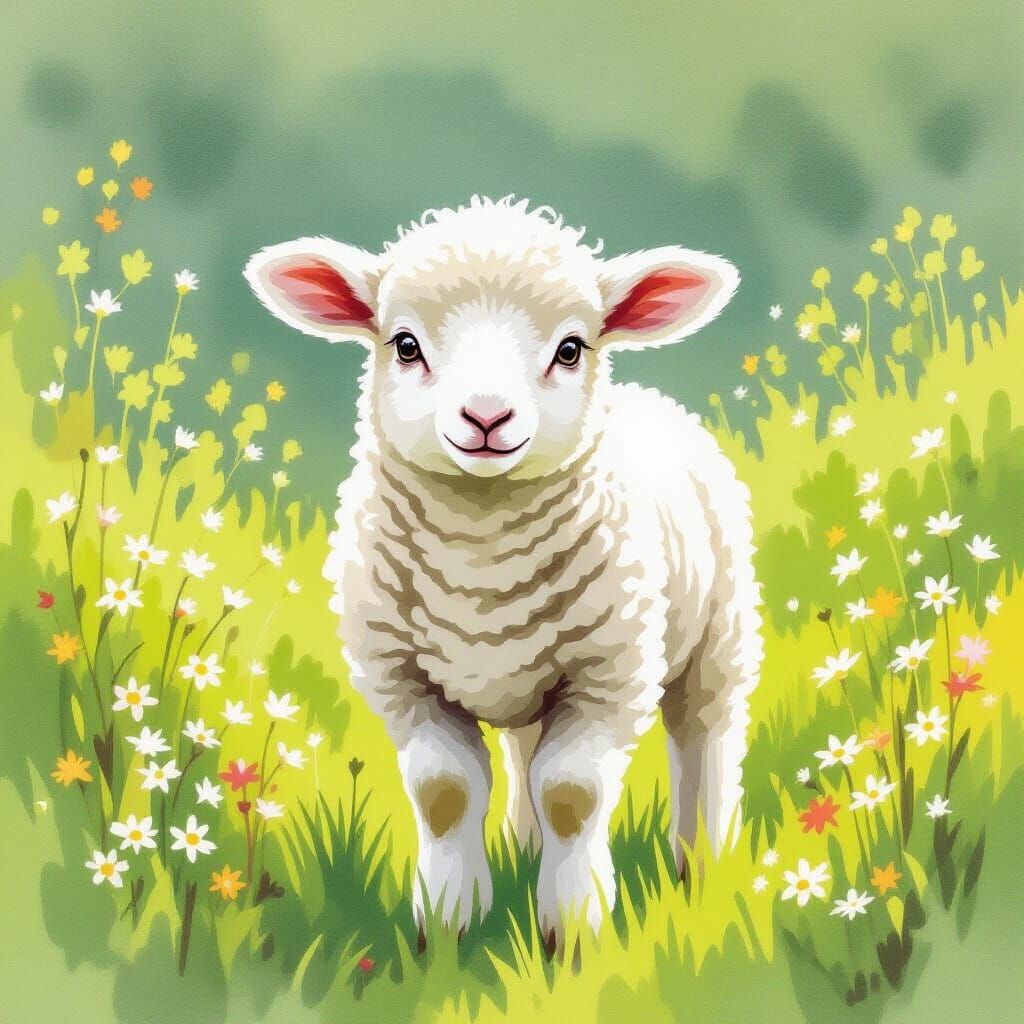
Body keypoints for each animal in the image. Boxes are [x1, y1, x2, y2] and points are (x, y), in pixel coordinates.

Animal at [244, 195, 763, 948]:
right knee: (523, 750)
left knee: (706, 736)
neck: (479, 558)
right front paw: (448, 925)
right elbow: (445, 792)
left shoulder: (606, 676)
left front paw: (574, 929)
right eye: (405, 345)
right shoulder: (404, 680)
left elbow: (573, 794)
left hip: (718, 631)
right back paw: (524, 847)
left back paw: (704, 864)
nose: (486, 416)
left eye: (570, 349)